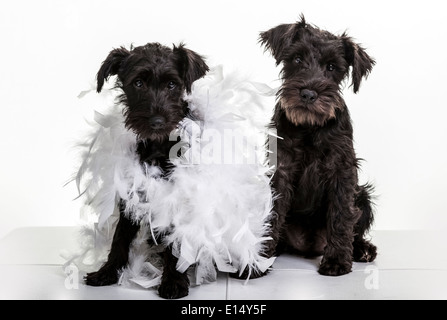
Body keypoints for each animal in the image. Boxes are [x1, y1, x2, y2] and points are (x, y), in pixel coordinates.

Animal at [85, 42, 209, 298]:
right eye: (138, 83)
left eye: (172, 84)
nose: (157, 122)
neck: (158, 145)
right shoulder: (131, 191)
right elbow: (120, 237)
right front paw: (107, 272)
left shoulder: (177, 195)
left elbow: (175, 242)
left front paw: (174, 280)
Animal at [260, 15, 380, 276]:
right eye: (297, 59)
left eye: (332, 67)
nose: (308, 93)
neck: (309, 126)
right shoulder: (281, 169)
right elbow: (272, 213)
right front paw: (257, 259)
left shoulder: (342, 170)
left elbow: (341, 214)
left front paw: (336, 260)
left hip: (363, 196)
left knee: (355, 228)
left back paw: (362, 249)